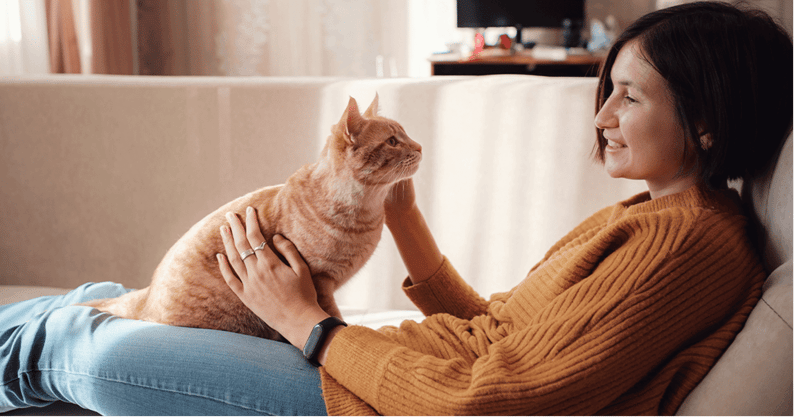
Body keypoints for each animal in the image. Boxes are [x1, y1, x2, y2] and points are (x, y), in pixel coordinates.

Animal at [82, 94, 422, 340]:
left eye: (405, 134)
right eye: (393, 141)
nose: (420, 146)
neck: (365, 214)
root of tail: (146, 297)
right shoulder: (320, 282)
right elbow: (333, 316)